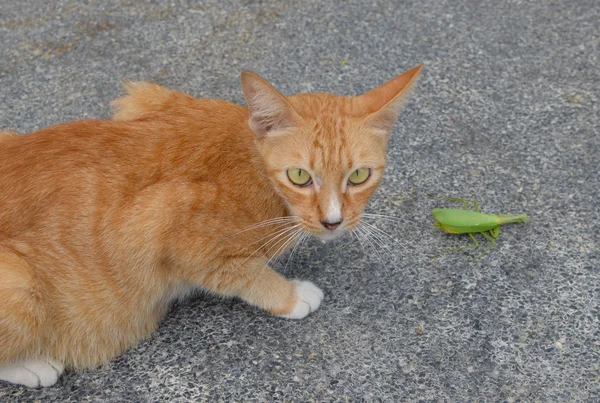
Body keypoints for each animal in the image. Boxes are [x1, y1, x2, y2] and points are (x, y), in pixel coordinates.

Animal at [0, 66, 422, 388]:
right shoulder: (161, 227)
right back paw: (33, 365)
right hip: (19, 286)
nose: (333, 221)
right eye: (300, 176)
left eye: (360, 175)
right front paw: (291, 295)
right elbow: (245, 273)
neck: (254, 163)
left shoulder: (141, 98)